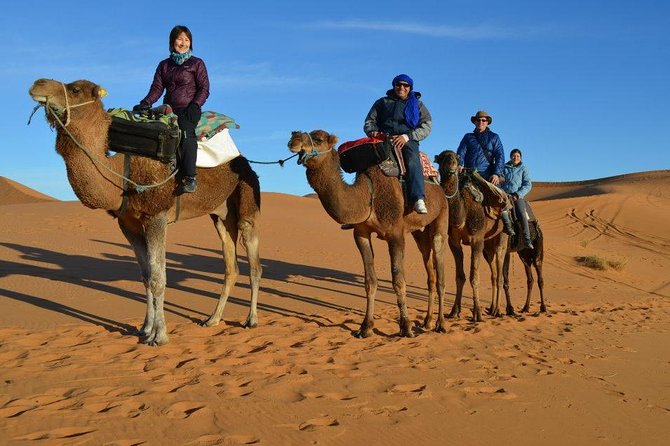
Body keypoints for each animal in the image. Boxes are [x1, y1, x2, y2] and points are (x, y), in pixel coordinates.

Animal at [29, 78, 262, 346]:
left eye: (75, 89)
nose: (38, 84)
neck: (122, 172)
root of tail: (243, 160)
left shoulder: (156, 217)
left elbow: (158, 278)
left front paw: (159, 336)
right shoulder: (128, 224)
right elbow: (146, 277)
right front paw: (145, 329)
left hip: (247, 195)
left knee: (254, 263)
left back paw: (251, 320)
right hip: (220, 214)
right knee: (230, 265)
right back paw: (212, 319)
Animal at [288, 130, 449, 337]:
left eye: (319, 139)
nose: (293, 139)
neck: (369, 193)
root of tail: (438, 185)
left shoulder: (396, 233)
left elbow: (398, 280)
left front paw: (405, 327)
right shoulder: (361, 233)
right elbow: (370, 281)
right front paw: (365, 327)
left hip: (441, 217)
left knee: (440, 269)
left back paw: (441, 324)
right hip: (420, 232)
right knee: (430, 271)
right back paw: (427, 322)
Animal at [434, 149, 512, 322]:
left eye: (456, 157)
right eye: (442, 157)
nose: (452, 164)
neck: (462, 212)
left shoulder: (476, 240)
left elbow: (474, 278)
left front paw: (477, 313)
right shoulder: (454, 242)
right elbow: (460, 277)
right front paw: (454, 311)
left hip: (501, 237)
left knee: (500, 273)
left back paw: (497, 310)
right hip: (487, 246)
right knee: (494, 275)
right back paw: (491, 308)